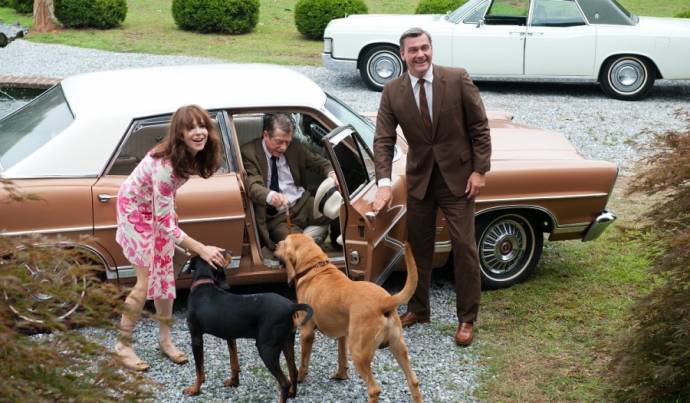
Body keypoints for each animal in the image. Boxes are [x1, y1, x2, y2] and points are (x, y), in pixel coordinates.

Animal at [183, 258, 312, 402]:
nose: (227, 287)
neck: (203, 285)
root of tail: (290, 306)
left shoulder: (196, 337)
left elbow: (199, 370)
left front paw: (195, 389)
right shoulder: (230, 336)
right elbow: (234, 362)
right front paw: (234, 382)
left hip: (266, 348)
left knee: (284, 382)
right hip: (287, 342)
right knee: (293, 370)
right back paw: (292, 394)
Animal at [276, 234, 424, 403]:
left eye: (284, 242)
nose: (276, 245)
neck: (315, 267)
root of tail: (384, 301)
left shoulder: (306, 333)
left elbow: (303, 362)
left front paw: (299, 379)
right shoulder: (342, 335)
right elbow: (341, 357)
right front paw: (341, 376)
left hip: (359, 353)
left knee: (374, 390)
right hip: (398, 347)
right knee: (413, 381)